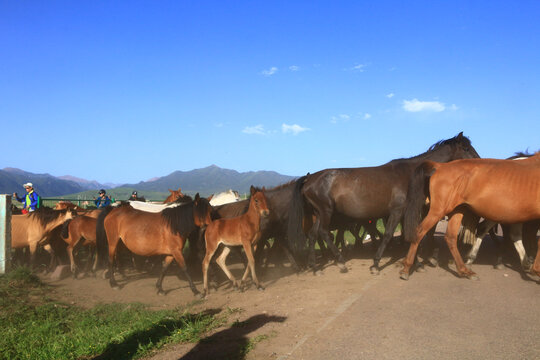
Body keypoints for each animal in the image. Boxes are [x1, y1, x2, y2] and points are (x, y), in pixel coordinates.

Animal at [288, 132, 478, 272]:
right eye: (466, 147)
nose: (478, 161)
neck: (410, 173)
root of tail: (309, 179)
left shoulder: (404, 212)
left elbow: (410, 235)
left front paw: (416, 263)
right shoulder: (397, 211)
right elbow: (388, 235)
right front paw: (376, 264)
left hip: (319, 213)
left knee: (313, 234)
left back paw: (315, 266)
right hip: (326, 212)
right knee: (324, 232)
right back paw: (341, 262)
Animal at [402, 150, 540, 280]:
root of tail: (441, 166)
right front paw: (535, 270)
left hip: (458, 210)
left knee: (450, 237)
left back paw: (465, 271)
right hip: (438, 210)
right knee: (419, 232)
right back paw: (407, 268)